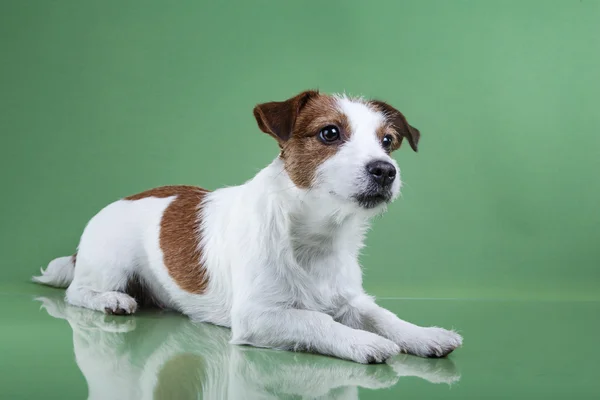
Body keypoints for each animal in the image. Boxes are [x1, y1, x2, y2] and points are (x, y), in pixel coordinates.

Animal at [32, 90, 462, 362]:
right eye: (329, 133)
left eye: (388, 141)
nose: (386, 170)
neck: (315, 237)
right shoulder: (259, 316)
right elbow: (317, 320)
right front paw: (361, 341)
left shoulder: (350, 300)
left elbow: (384, 317)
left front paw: (423, 335)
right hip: (109, 264)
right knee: (76, 292)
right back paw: (111, 300)